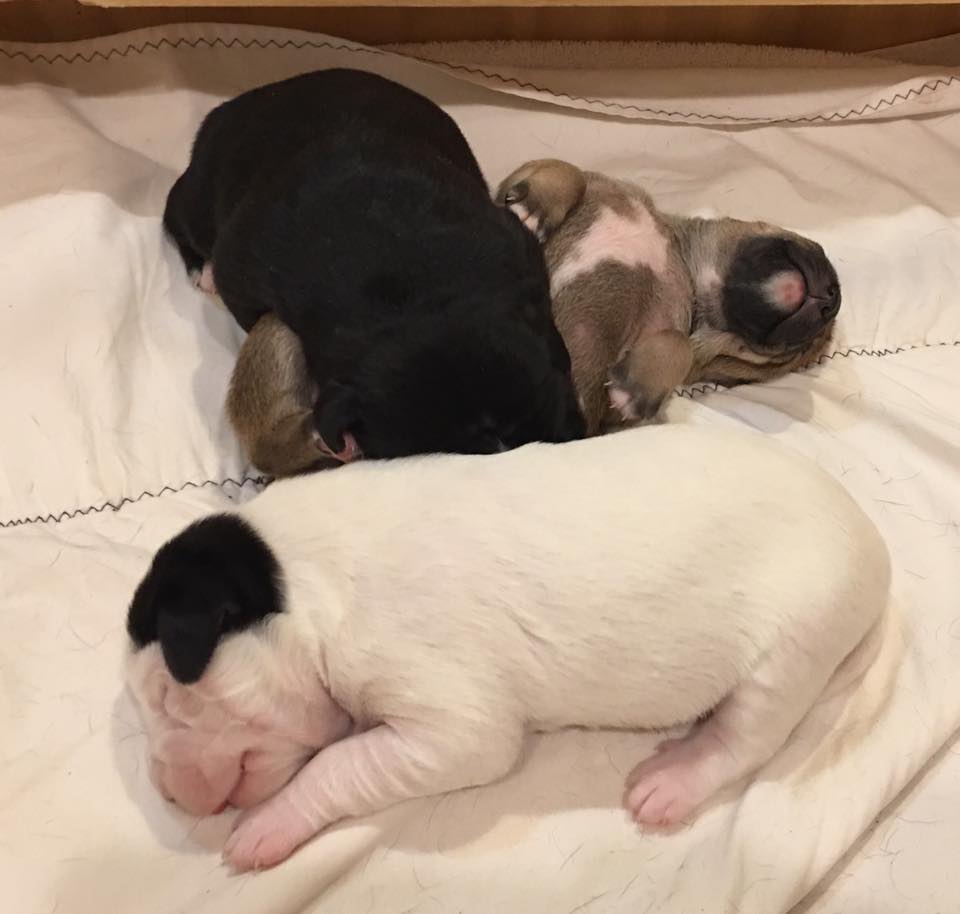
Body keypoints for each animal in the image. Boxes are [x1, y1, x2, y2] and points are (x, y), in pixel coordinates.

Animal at [126, 424, 889, 871]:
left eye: (166, 694)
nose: (165, 793)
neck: (305, 578)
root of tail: (871, 540)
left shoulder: (450, 724)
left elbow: (341, 763)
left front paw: (264, 828)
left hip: (793, 646)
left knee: (745, 739)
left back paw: (672, 780)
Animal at [495, 160, 842, 433]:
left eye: (797, 354)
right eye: (819, 248)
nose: (831, 299)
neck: (689, 268)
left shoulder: (608, 418)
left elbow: (679, 345)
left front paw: (636, 387)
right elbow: (569, 171)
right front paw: (535, 205)